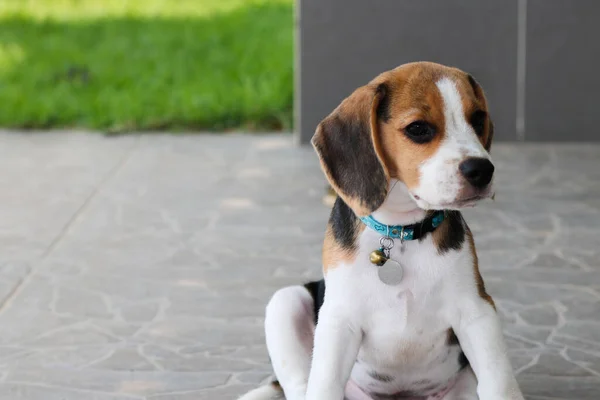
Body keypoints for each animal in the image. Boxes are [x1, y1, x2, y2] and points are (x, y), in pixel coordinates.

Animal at [237, 62, 524, 400]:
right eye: (418, 129)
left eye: (478, 118)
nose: (482, 170)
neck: (400, 233)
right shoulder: (338, 320)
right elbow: (324, 383)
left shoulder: (477, 312)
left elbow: (499, 381)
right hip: (286, 302)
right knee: (298, 384)